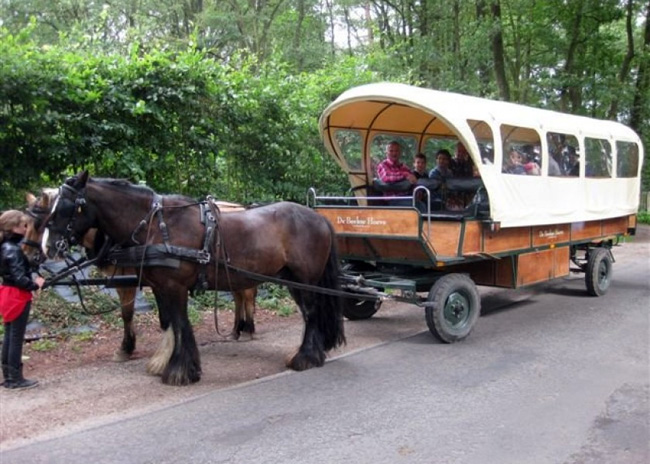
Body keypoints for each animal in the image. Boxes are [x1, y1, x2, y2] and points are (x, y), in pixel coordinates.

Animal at [40, 172, 344, 386]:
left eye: (67, 206)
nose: (48, 247)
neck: (157, 225)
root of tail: (318, 217)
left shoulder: (175, 287)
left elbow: (180, 324)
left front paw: (180, 371)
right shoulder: (161, 287)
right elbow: (172, 324)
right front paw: (171, 364)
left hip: (305, 279)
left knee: (312, 312)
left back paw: (306, 357)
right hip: (293, 280)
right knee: (310, 313)